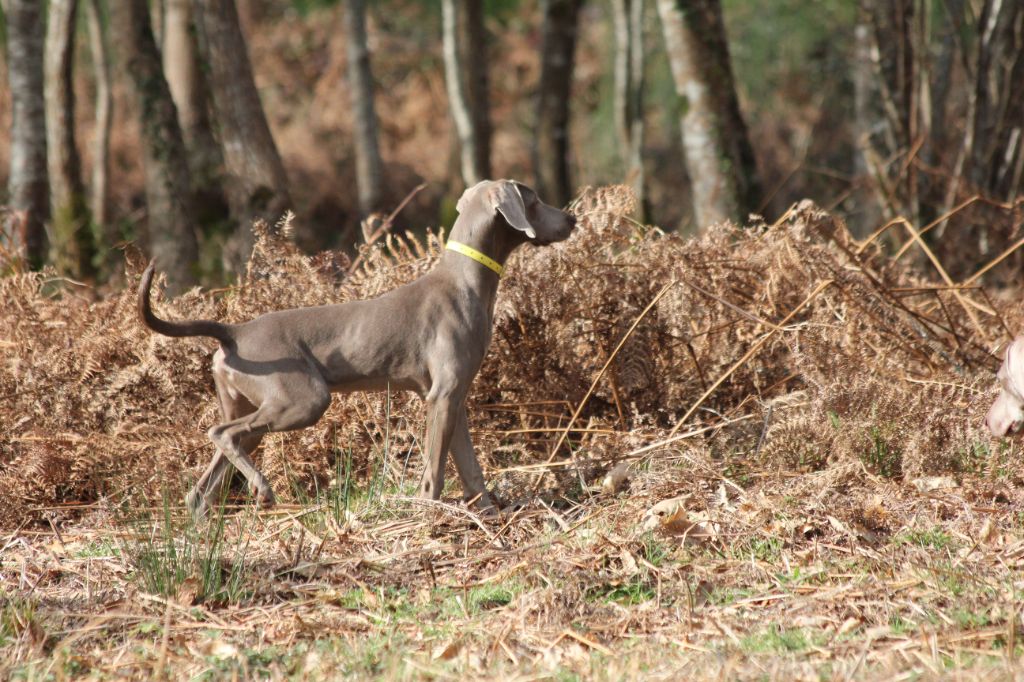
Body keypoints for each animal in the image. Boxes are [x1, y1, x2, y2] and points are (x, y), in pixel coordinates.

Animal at [138, 179, 577, 516]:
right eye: (534, 200)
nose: (572, 218)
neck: (466, 279)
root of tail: (235, 331)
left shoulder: (454, 399)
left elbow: (471, 468)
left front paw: (487, 514)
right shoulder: (441, 397)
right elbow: (434, 472)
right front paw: (429, 514)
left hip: (251, 404)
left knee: (201, 488)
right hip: (302, 400)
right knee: (221, 433)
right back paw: (263, 488)